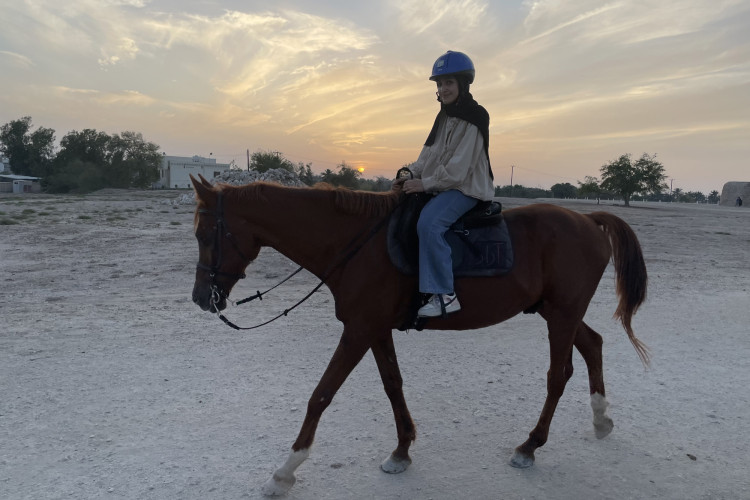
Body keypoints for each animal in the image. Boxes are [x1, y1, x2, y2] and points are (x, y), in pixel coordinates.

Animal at [191, 174, 648, 494]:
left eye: (203, 234)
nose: (200, 298)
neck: (355, 243)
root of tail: (587, 219)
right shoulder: (374, 329)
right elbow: (392, 384)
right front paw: (402, 450)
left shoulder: (358, 331)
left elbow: (321, 394)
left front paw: (284, 472)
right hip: (558, 313)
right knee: (592, 344)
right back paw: (600, 419)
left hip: (561, 315)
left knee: (559, 375)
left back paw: (530, 445)